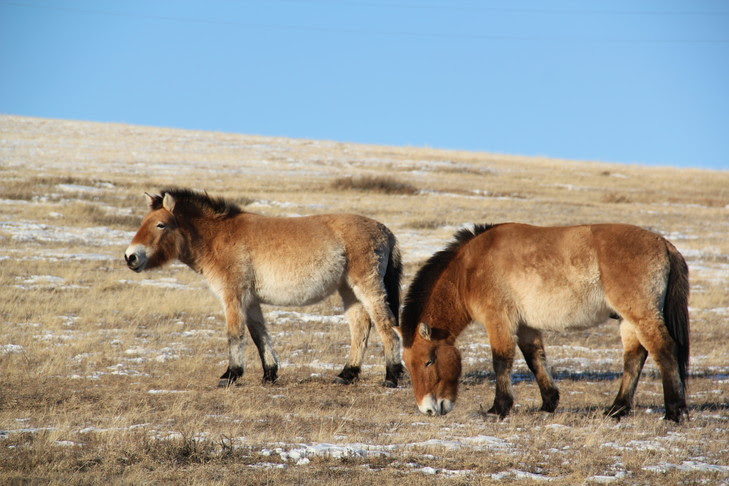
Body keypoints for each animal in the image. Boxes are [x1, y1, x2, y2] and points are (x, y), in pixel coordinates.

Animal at [121, 189, 400, 388]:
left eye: (160, 225)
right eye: (143, 222)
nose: (130, 257)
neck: (218, 238)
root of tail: (385, 230)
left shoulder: (233, 296)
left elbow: (235, 334)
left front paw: (230, 375)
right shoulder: (251, 300)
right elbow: (259, 335)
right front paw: (269, 375)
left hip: (366, 286)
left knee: (386, 325)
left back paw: (391, 377)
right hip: (348, 291)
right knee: (360, 327)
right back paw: (346, 374)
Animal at [398, 223, 688, 422]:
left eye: (428, 362)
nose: (428, 409)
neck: (469, 270)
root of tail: (664, 244)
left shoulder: (499, 321)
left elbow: (501, 361)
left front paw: (498, 408)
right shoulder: (526, 326)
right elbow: (535, 359)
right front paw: (549, 402)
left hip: (641, 315)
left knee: (664, 350)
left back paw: (674, 411)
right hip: (628, 321)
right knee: (634, 358)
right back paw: (617, 409)